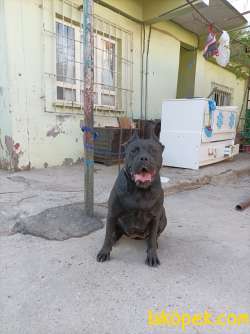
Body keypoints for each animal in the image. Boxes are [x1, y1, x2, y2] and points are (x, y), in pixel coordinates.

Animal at [96, 130, 167, 266]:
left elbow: (152, 237)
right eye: (134, 150)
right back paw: (114, 239)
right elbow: (107, 236)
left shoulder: (155, 217)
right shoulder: (112, 214)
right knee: (115, 233)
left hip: (163, 219)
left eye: (153, 150)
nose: (144, 158)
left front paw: (152, 255)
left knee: (153, 236)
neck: (139, 190)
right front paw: (104, 252)